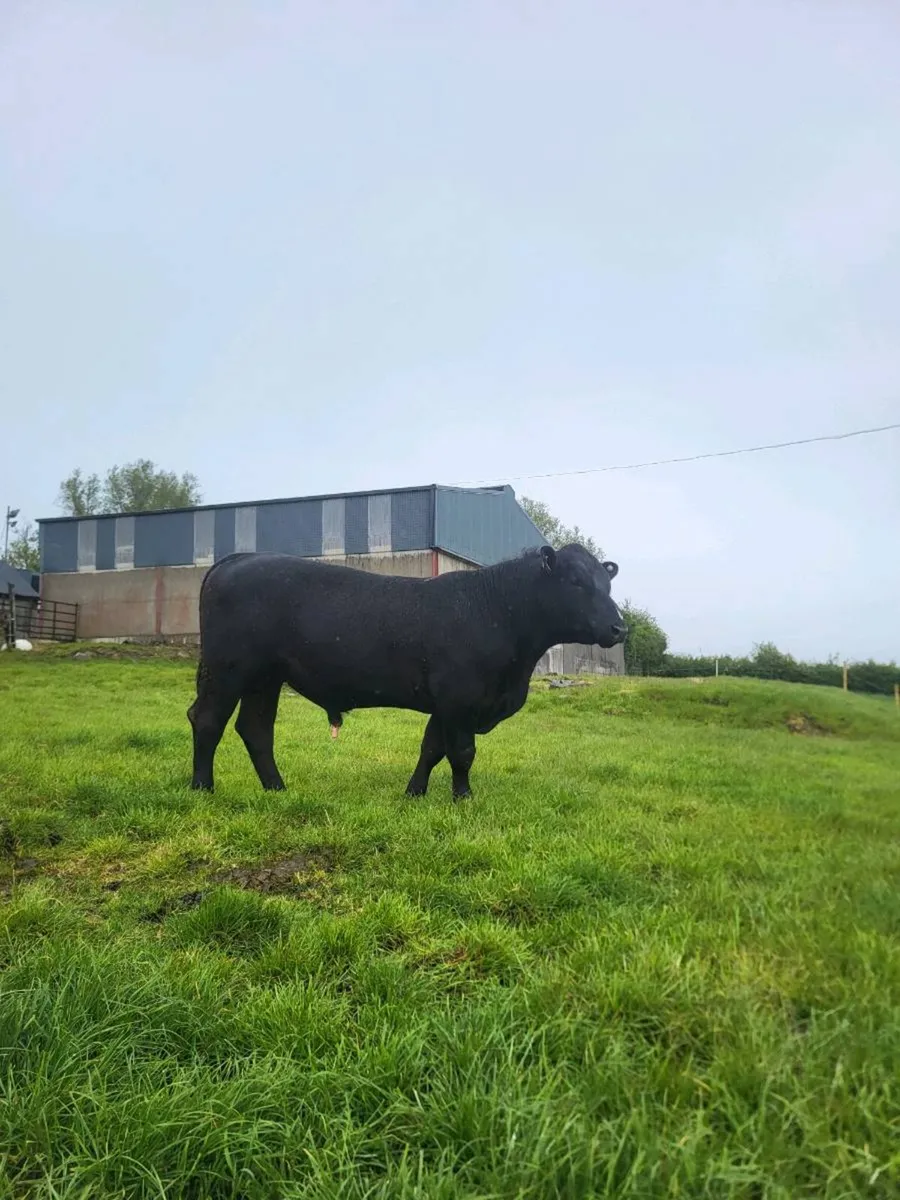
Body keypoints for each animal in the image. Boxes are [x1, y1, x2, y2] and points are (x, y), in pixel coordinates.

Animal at [187, 544, 627, 798]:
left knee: (256, 729)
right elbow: (462, 753)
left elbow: (431, 748)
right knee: (207, 720)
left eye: (607, 583)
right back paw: (202, 789)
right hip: (228, 668)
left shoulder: (445, 703)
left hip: (265, 677)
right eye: (575, 581)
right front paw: (463, 798)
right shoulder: (459, 697)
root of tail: (240, 559)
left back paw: (277, 790)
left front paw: (414, 793)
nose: (619, 628)